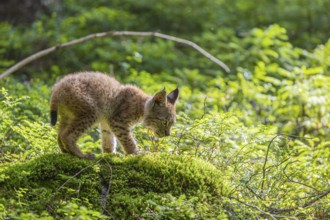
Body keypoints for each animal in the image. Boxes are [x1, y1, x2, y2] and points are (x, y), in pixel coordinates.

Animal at [49, 72, 178, 160]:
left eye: (172, 123)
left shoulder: (107, 121)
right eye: (165, 122)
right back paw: (81, 155)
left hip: (68, 115)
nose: (168, 134)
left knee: (60, 133)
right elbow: (127, 139)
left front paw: (110, 153)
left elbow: (108, 137)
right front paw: (135, 153)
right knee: (67, 135)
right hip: (91, 112)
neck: (142, 107)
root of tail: (59, 85)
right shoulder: (118, 121)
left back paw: (65, 151)